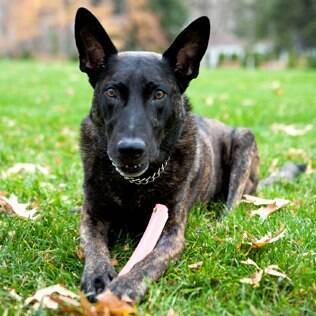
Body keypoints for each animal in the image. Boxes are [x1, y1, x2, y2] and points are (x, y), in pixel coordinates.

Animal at [74, 7, 260, 302]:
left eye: (159, 94)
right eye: (111, 92)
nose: (130, 149)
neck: (135, 184)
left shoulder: (171, 232)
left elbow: (150, 260)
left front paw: (128, 283)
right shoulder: (92, 215)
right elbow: (93, 246)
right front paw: (98, 274)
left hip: (244, 140)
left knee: (231, 206)